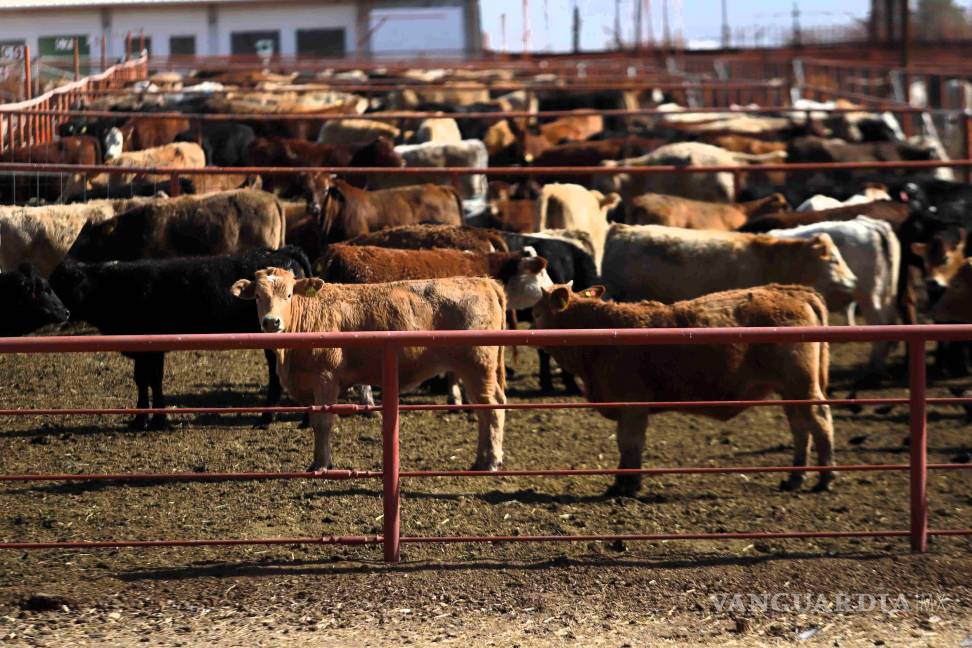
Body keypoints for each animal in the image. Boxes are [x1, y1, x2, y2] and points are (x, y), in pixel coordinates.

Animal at [51, 247, 311, 430]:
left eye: (59, 286)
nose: (61, 312)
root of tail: (281, 251)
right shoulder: (145, 350)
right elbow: (144, 380)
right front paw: (143, 419)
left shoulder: (150, 348)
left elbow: (151, 380)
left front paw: (153, 420)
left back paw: (271, 419)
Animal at [231, 269, 508, 472]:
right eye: (258, 296)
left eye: (289, 295)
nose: (271, 322)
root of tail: (484, 282)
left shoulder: (326, 379)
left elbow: (322, 423)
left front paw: (321, 465)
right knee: (484, 410)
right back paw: (480, 461)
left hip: (479, 367)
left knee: (493, 408)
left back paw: (491, 462)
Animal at [533, 283, 835, 495]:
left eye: (537, 311)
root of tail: (792, 290)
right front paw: (621, 482)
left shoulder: (633, 404)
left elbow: (629, 443)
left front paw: (627, 485)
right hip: (788, 391)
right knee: (800, 428)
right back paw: (795, 478)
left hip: (802, 386)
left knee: (819, 420)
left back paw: (826, 477)